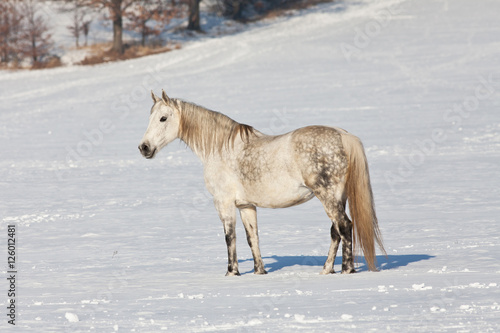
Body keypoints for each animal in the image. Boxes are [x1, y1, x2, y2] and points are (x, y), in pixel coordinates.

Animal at [139, 89, 384, 274]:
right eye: (149, 118)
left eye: (163, 118)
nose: (144, 148)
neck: (220, 149)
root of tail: (343, 135)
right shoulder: (246, 205)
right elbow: (252, 238)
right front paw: (260, 271)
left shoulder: (224, 203)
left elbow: (230, 237)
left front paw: (232, 272)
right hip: (338, 197)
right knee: (335, 231)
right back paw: (326, 269)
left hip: (328, 196)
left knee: (344, 226)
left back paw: (346, 270)